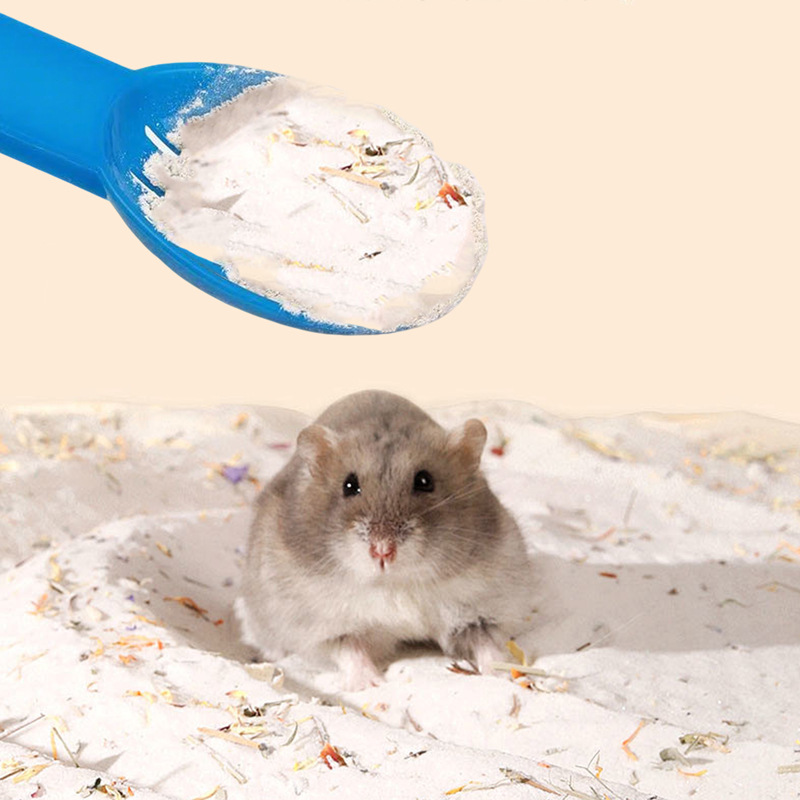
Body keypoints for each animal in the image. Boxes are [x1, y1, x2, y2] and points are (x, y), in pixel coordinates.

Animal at [236, 390, 531, 691]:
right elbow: (350, 649)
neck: (395, 583)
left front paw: (504, 675)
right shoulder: (322, 626)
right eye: (349, 485)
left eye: (425, 481)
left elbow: (487, 643)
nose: (382, 551)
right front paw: (371, 685)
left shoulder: (480, 610)